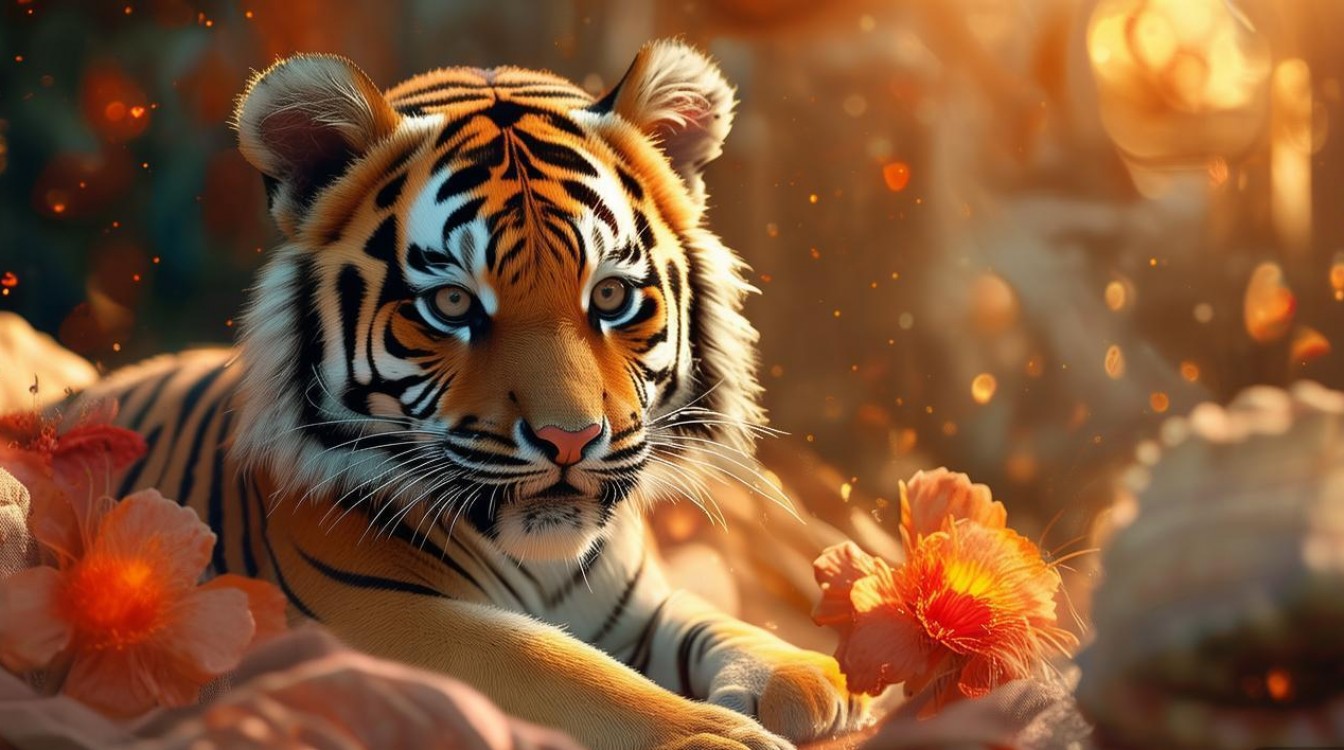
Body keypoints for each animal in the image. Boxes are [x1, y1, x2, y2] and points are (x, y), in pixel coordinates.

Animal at [70, 40, 865, 749]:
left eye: (610, 295)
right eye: (452, 304)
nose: (571, 439)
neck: (549, 566)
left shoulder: (641, 603)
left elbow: (709, 619)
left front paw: (799, 674)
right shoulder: (384, 616)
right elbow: (553, 664)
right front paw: (712, 735)